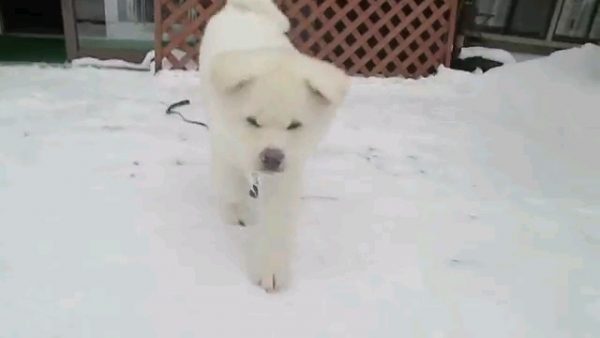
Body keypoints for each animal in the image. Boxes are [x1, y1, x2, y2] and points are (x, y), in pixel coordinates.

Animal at [200, 0, 350, 292]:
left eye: (294, 126)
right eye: (252, 121)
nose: (272, 157)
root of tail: (243, 9)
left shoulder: (288, 172)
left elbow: (277, 221)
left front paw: (271, 271)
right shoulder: (225, 144)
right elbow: (230, 183)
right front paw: (237, 211)